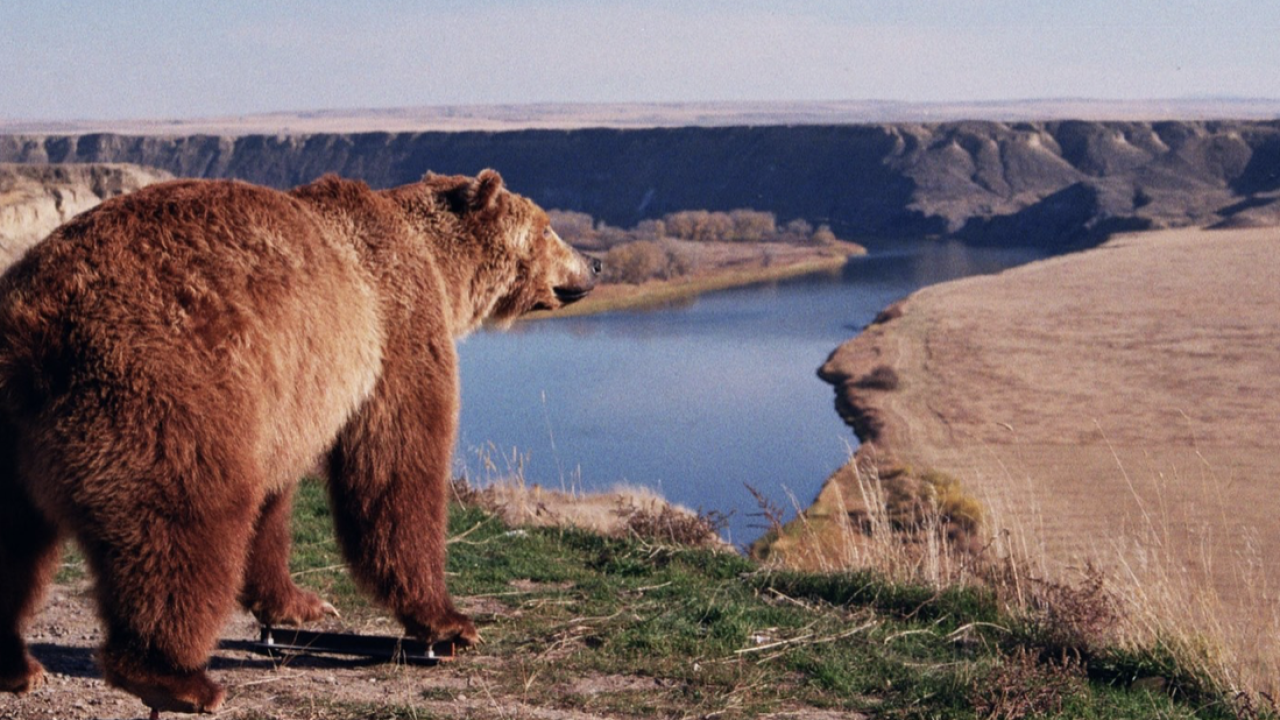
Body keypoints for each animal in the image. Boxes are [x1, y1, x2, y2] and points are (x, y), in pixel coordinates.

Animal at [0, 169, 599, 714]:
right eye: (547, 227)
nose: (595, 264)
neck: (437, 264)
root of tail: (33, 327)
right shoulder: (394, 331)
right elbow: (397, 470)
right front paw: (449, 623)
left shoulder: (286, 397)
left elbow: (274, 503)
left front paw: (297, 604)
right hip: (161, 394)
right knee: (183, 523)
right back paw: (173, 677)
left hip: (14, 437)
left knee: (17, 545)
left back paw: (17, 665)